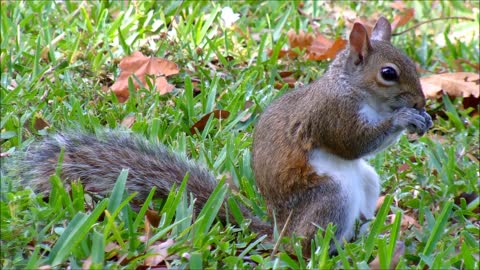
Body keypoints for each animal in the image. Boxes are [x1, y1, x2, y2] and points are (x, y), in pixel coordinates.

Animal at [10, 17, 432, 255]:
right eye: (389, 73)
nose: (421, 101)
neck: (353, 89)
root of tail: (278, 231)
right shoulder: (331, 114)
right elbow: (352, 142)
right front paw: (405, 119)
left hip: (365, 182)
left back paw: (371, 236)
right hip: (329, 196)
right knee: (306, 245)